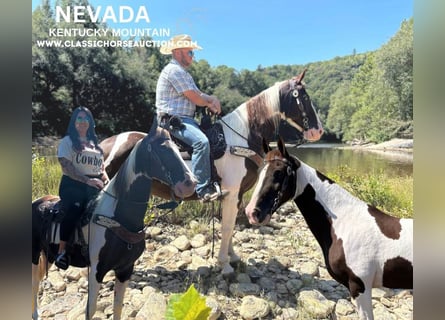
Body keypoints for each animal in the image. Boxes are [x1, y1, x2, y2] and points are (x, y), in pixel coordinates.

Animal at [32, 125, 195, 320]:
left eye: (178, 149)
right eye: (161, 150)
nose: (190, 184)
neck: (118, 219)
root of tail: (37, 202)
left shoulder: (125, 270)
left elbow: (118, 306)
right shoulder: (97, 270)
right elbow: (91, 309)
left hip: (49, 255)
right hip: (34, 254)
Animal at [99, 70, 322, 276]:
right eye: (304, 97)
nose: (318, 131)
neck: (240, 138)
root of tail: (104, 144)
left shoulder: (237, 195)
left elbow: (231, 225)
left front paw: (233, 257)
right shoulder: (231, 193)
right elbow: (227, 226)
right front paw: (224, 264)